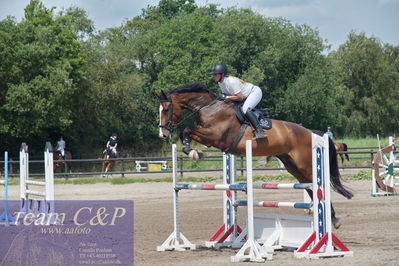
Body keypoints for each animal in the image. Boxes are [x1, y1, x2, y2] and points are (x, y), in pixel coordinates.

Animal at [158, 81, 354, 229]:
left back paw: (332, 219)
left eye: (166, 109)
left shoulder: (216, 136)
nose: (163, 135)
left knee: (319, 186)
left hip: (305, 164)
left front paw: (194, 153)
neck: (210, 108)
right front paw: (194, 152)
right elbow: (187, 132)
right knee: (310, 187)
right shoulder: (210, 138)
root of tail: (311, 132)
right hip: (292, 165)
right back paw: (329, 217)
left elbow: (186, 129)